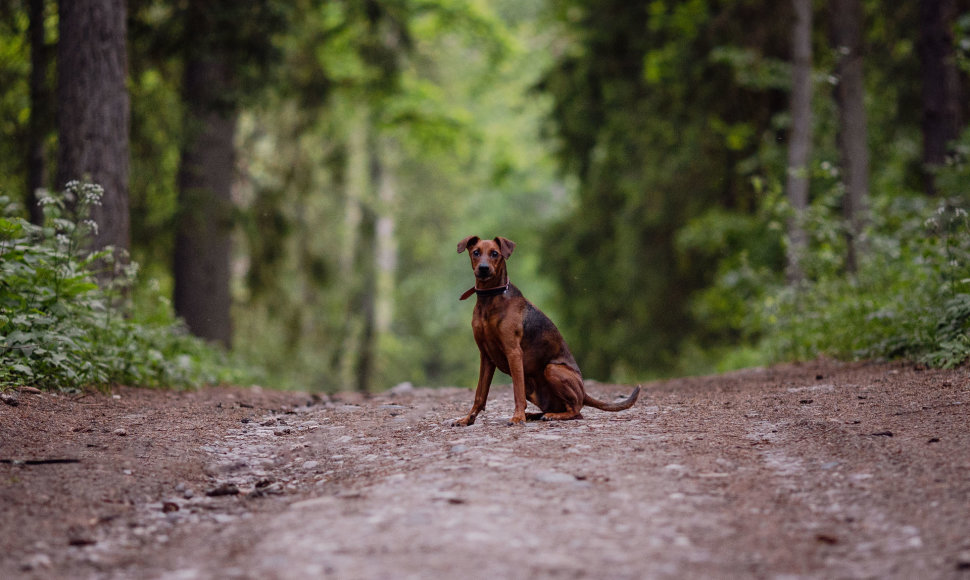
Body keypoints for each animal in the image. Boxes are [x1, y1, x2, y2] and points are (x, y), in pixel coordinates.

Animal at [452, 236, 640, 426]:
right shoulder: (486, 356)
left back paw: (551, 416)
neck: (490, 298)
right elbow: (479, 394)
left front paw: (517, 417)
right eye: (476, 252)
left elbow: (517, 392)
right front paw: (467, 418)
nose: (483, 268)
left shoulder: (513, 352)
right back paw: (535, 415)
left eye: (495, 253)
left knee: (576, 410)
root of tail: (584, 392)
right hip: (534, 387)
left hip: (551, 369)